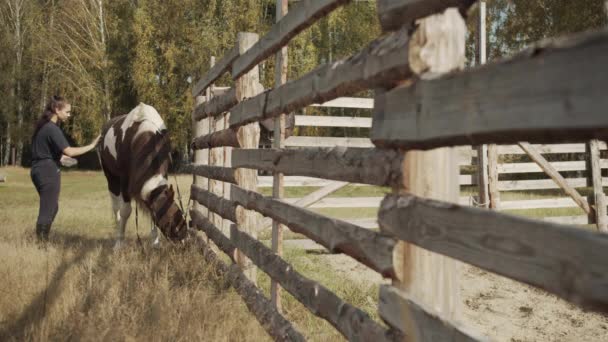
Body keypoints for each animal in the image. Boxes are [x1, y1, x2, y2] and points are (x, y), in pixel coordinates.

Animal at [97, 102, 186, 248]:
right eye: (168, 222)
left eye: (180, 212)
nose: (183, 238)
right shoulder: (125, 180)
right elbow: (125, 211)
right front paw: (119, 243)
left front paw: (155, 242)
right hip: (111, 177)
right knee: (116, 206)